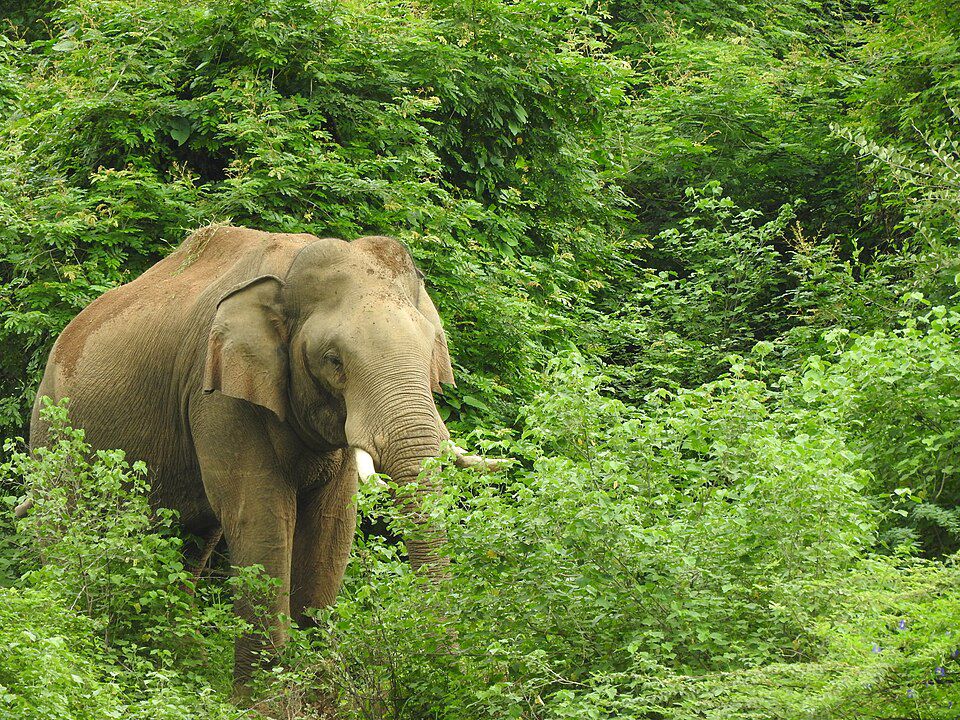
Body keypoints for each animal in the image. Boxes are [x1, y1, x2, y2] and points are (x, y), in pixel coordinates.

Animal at [29, 228, 488, 684]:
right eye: (333, 360)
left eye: (432, 348)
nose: (453, 670)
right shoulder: (217, 392)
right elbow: (261, 518)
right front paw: (267, 694)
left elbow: (332, 523)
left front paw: (318, 683)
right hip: (51, 432)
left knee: (189, 544)